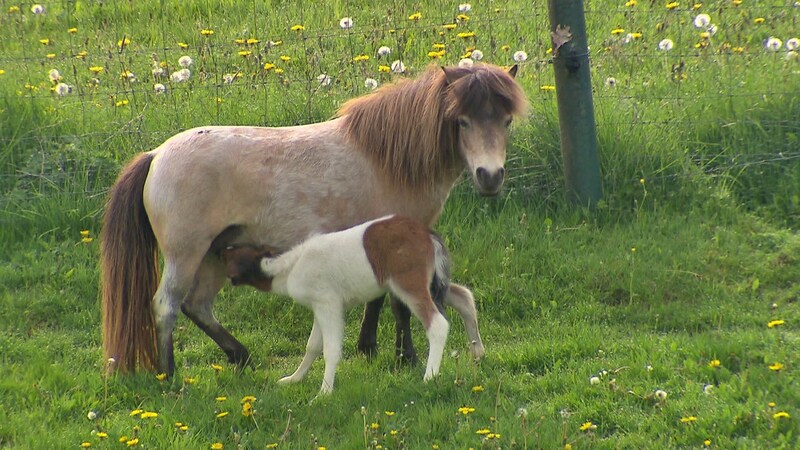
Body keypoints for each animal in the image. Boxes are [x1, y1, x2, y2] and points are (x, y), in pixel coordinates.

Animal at [100, 63, 527, 375]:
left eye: (506, 121)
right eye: (462, 121)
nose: (490, 176)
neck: (386, 159)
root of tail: (156, 155)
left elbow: (376, 299)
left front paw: (368, 348)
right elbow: (399, 305)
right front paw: (405, 357)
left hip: (214, 255)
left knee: (198, 306)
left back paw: (241, 356)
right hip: (186, 254)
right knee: (166, 307)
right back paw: (169, 374)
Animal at [221, 215, 485, 394]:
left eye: (232, 253)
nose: (219, 248)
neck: (289, 268)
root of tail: (428, 235)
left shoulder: (329, 305)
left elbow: (330, 349)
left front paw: (324, 393)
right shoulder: (320, 307)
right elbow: (312, 346)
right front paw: (294, 379)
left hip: (409, 284)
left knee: (437, 323)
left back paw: (430, 376)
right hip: (432, 283)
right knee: (464, 297)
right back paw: (478, 352)